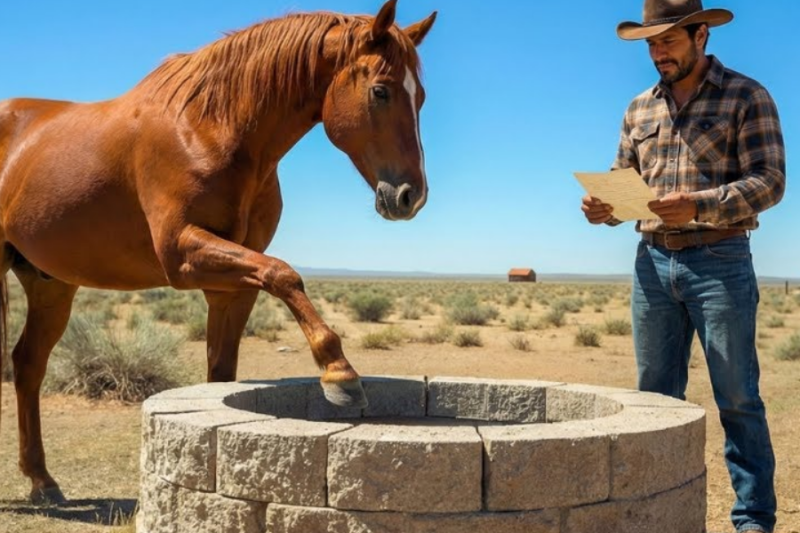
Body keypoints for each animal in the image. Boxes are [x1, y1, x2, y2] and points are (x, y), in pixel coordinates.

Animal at [0, 0, 436, 504]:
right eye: (381, 91)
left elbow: (225, 366)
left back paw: (42, 480)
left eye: (420, 98)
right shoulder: (183, 254)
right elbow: (286, 274)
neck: (210, 128)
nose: (410, 197)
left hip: (50, 284)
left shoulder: (232, 285)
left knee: (28, 365)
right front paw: (339, 373)